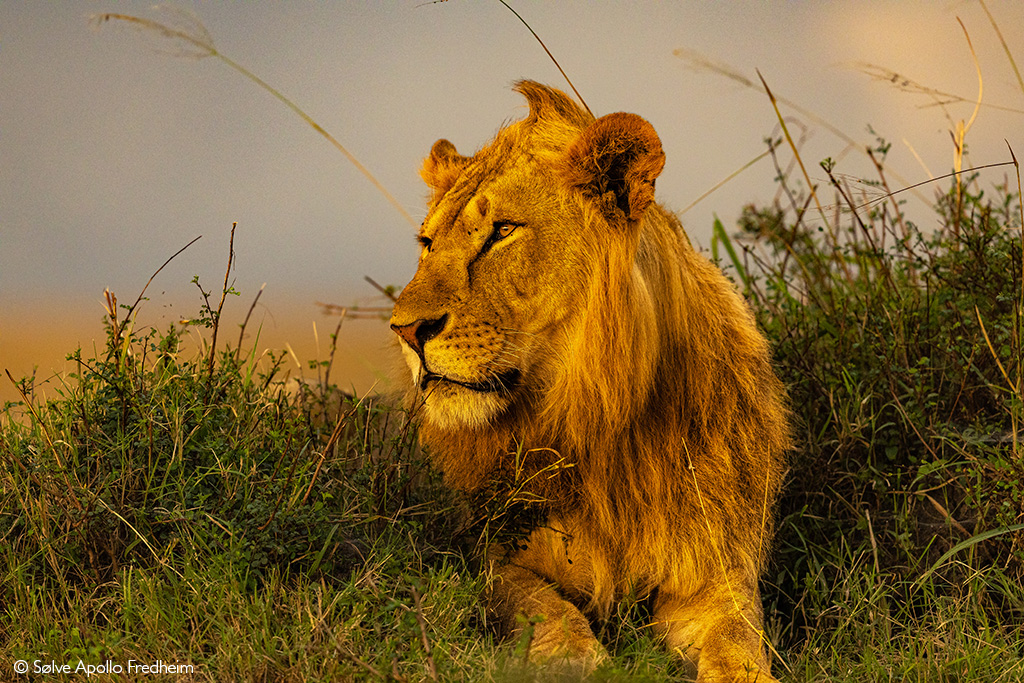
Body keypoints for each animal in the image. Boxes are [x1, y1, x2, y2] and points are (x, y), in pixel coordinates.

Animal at [387, 78, 786, 679]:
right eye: (428, 244)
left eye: (503, 231)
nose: (406, 330)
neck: (600, 416)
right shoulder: (494, 557)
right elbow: (544, 608)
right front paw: (577, 660)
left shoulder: (714, 571)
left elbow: (737, 643)